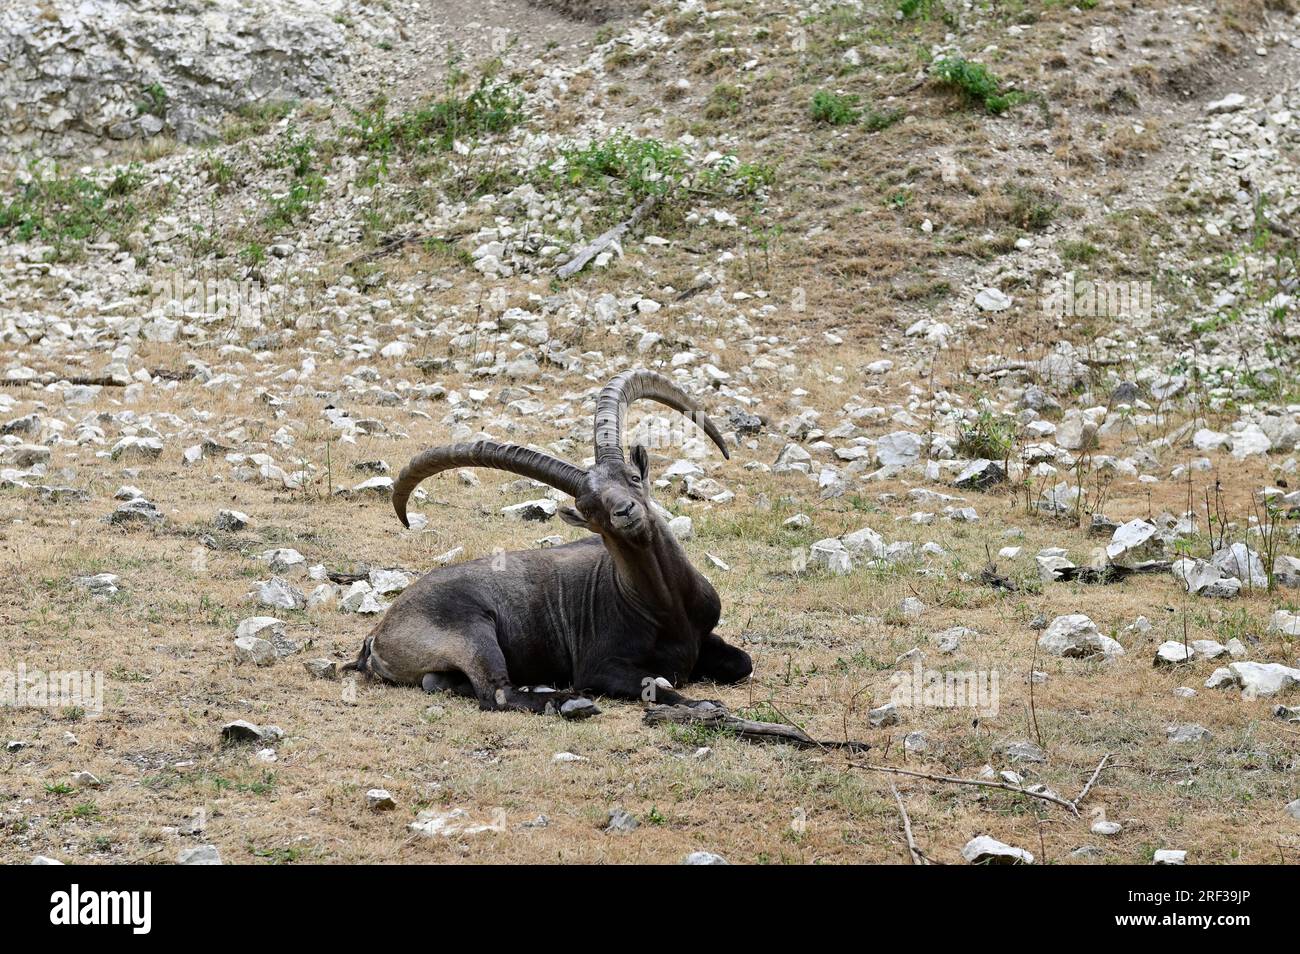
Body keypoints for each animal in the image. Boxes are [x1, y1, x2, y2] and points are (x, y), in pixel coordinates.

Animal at [345, 370, 753, 718]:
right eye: (588, 508)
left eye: (633, 477)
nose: (625, 511)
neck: (666, 606)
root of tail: (378, 635)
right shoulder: (600, 667)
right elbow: (657, 685)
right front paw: (703, 705)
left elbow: (743, 663)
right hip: (472, 632)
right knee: (495, 693)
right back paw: (570, 702)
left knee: (442, 682)